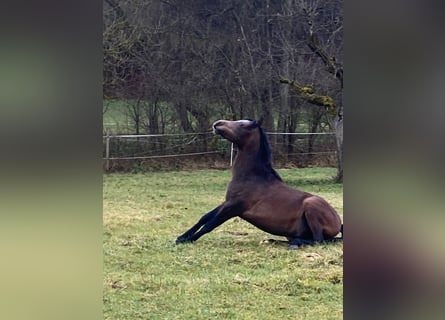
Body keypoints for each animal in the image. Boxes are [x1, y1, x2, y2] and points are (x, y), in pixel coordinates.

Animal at [175, 119, 342, 248]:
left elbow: (210, 225)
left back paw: (294, 243)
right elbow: (204, 217)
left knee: (319, 240)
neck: (252, 178)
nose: (217, 124)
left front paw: (186, 241)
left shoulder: (234, 207)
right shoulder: (227, 203)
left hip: (311, 205)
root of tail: (338, 222)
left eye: (243, 124)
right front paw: (181, 237)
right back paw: (273, 240)